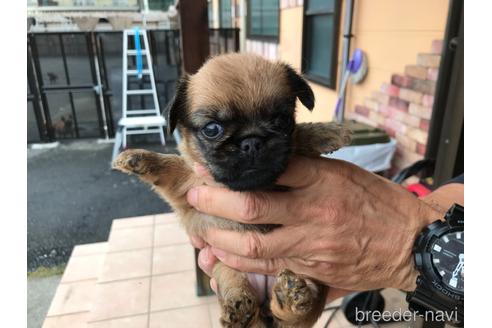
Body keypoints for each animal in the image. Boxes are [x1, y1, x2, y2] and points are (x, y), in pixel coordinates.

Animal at [112, 52, 350, 326]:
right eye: (212, 129)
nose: (252, 142)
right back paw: (243, 307)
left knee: (297, 312)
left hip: (311, 279)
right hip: (228, 268)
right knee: (242, 292)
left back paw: (290, 296)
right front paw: (138, 158)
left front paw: (325, 132)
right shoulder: (188, 187)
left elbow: (298, 138)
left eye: (281, 121)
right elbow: (170, 164)